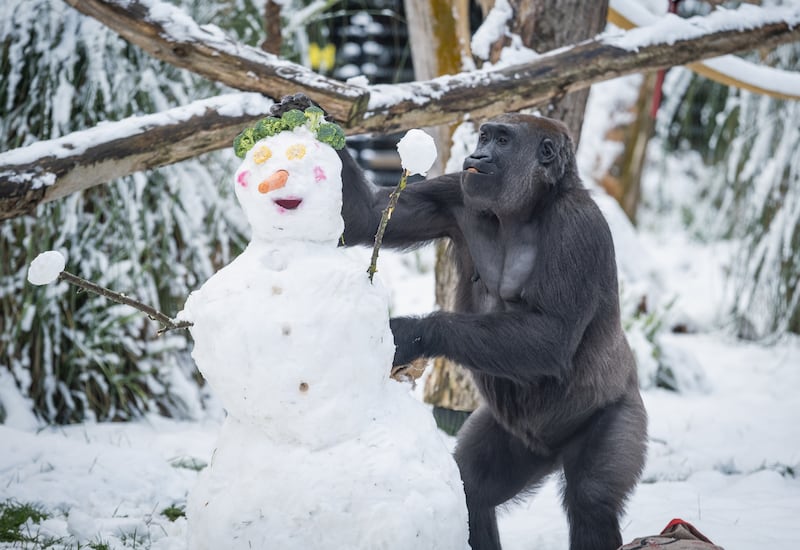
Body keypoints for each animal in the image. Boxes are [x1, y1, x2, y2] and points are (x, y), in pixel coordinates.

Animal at [272, 97, 648, 550]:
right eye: (485, 136)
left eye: (502, 141)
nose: (478, 154)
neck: (529, 207)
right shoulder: (454, 193)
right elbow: (369, 214)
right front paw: (310, 113)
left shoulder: (577, 228)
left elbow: (553, 335)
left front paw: (413, 333)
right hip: (516, 439)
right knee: (472, 488)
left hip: (618, 411)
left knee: (592, 499)